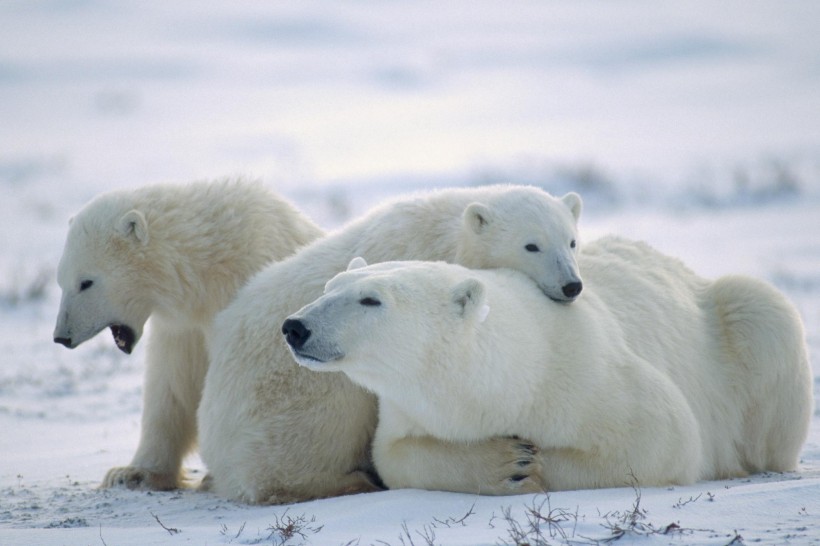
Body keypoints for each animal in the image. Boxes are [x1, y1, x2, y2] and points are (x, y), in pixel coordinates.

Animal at [52, 178, 324, 488]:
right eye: (60, 281)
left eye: (86, 282)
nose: (61, 336)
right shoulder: (183, 328)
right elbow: (171, 386)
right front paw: (131, 473)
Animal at [198, 184, 584, 502]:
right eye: (531, 245)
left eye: (571, 241)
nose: (571, 285)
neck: (448, 233)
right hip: (286, 399)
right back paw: (350, 481)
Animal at [286, 239, 812, 492]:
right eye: (330, 286)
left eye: (370, 299)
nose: (295, 327)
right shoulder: (407, 409)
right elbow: (396, 456)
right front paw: (507, 464)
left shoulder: (588, 376)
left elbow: (663, 440)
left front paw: (531, 464)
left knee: (761, 309)